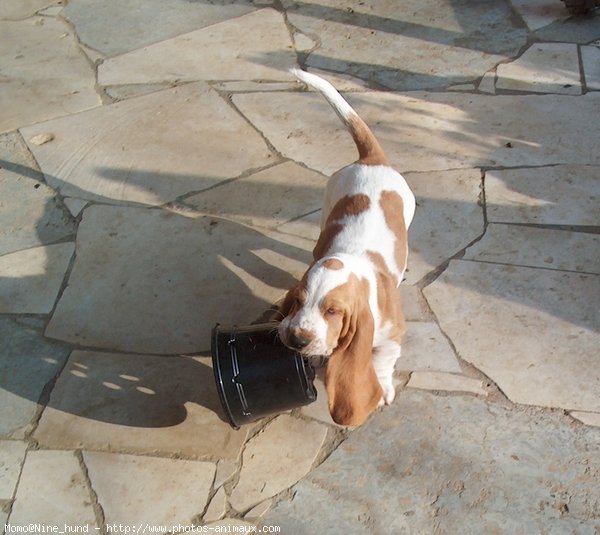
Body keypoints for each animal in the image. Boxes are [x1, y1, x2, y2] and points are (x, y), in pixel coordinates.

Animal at [278, 70, 418, 428]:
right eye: (297, 302)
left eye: (333, 311)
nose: (297, 339)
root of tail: (372, 161)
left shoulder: (392, 335)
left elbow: (382, 360)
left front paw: (383, 388)